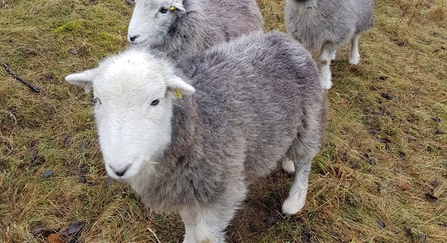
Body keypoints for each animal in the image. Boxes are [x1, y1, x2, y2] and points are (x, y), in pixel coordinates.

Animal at [65, 31, 328, 242]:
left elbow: (205, 236)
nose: (119, 169)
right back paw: (285, 161)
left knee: (305, 161)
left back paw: (295, 199)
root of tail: (286, 40)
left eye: (155, 101)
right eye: (97, 100)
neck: (197, 122)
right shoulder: (184, 188)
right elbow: (190, 224)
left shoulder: (222, 188)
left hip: (309, 120)